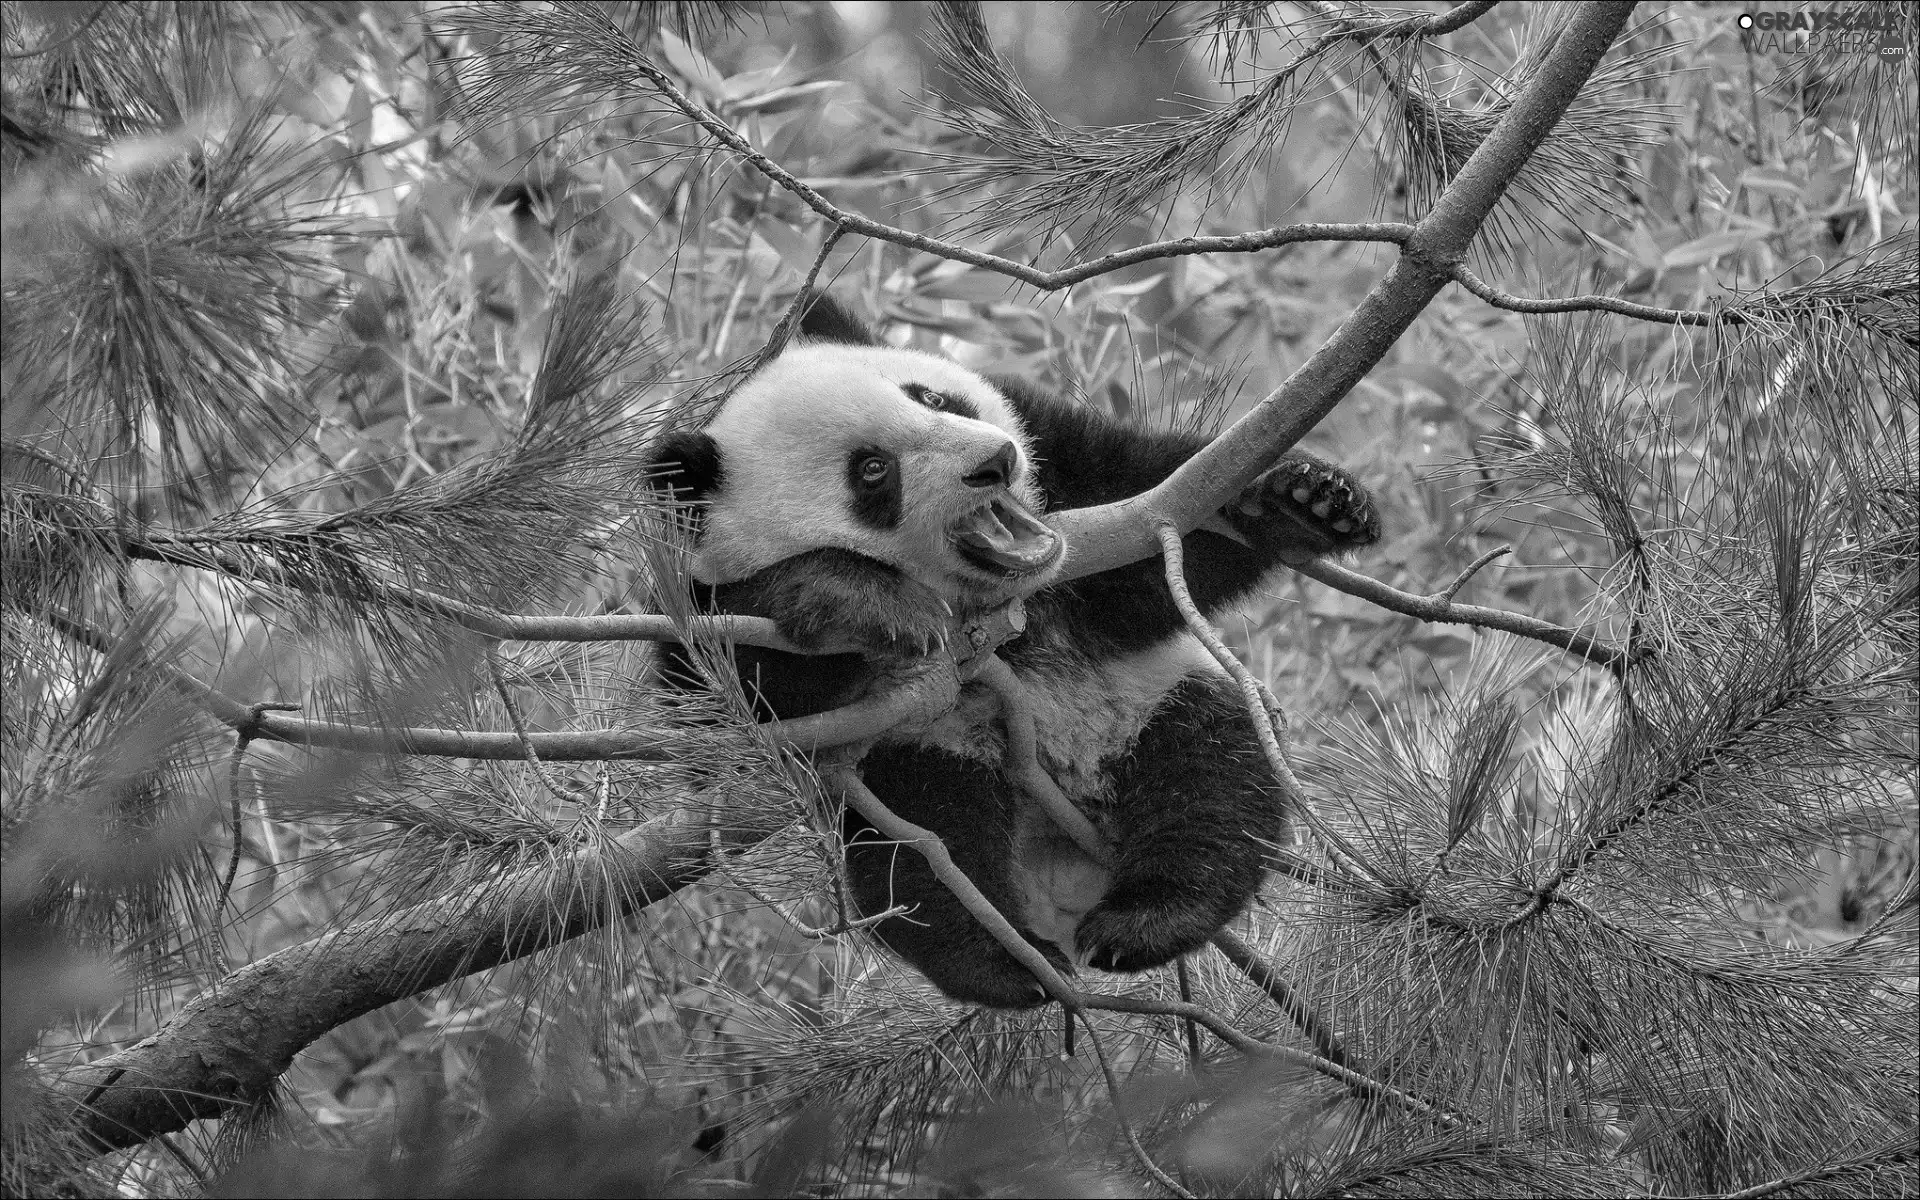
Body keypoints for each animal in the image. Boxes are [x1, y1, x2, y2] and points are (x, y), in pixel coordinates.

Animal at [648, 295, 1382, 1006]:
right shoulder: (690, 597)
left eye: (933, 397)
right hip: (923, 760)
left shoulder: (1063, 458)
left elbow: (1156, 516)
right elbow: (721, 714)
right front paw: (860, 598)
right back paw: (1011, 962)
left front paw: (1304, 502)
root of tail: (1066, 864)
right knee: (926, 855)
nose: (993, 463)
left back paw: (1147, 919)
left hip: (1157, 696)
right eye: (873, 471)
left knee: (1212, 779)